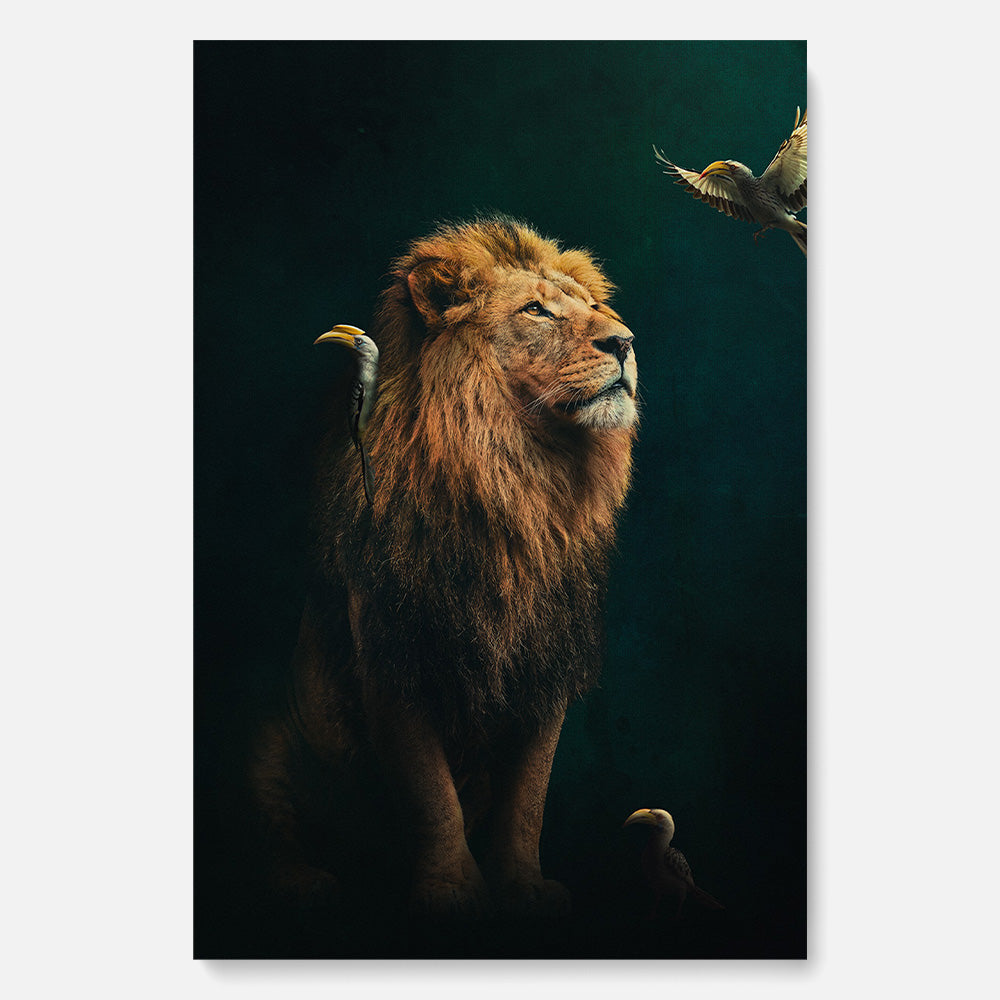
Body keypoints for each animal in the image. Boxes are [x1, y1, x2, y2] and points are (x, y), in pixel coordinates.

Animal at [252, 216, 638, 928]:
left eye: (592, 307)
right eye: (537, 310)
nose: (625, 342)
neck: (521, 480)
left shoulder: (545, 662)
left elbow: (528, 797)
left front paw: (523, 888)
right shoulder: (396, 650)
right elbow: (431, 793)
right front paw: (453, 892)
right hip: (271, 736)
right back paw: (304, 883)